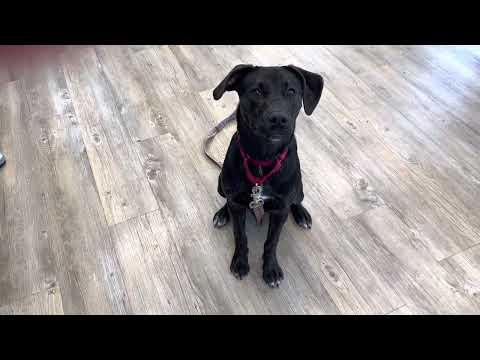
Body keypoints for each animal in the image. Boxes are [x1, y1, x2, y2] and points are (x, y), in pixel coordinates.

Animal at [213, 64, 322, 288]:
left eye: (291, 91)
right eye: (256, 91)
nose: (278, 119)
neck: (263, 160)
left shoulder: (280, 210)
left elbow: (272, 241)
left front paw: (270, 269)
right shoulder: (237, 202)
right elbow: (240, 235)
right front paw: (240, 262)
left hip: (299, 187)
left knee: (297, 200)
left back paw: (301, 214)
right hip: (220, 183)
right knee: (226, 200)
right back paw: (222, 213)